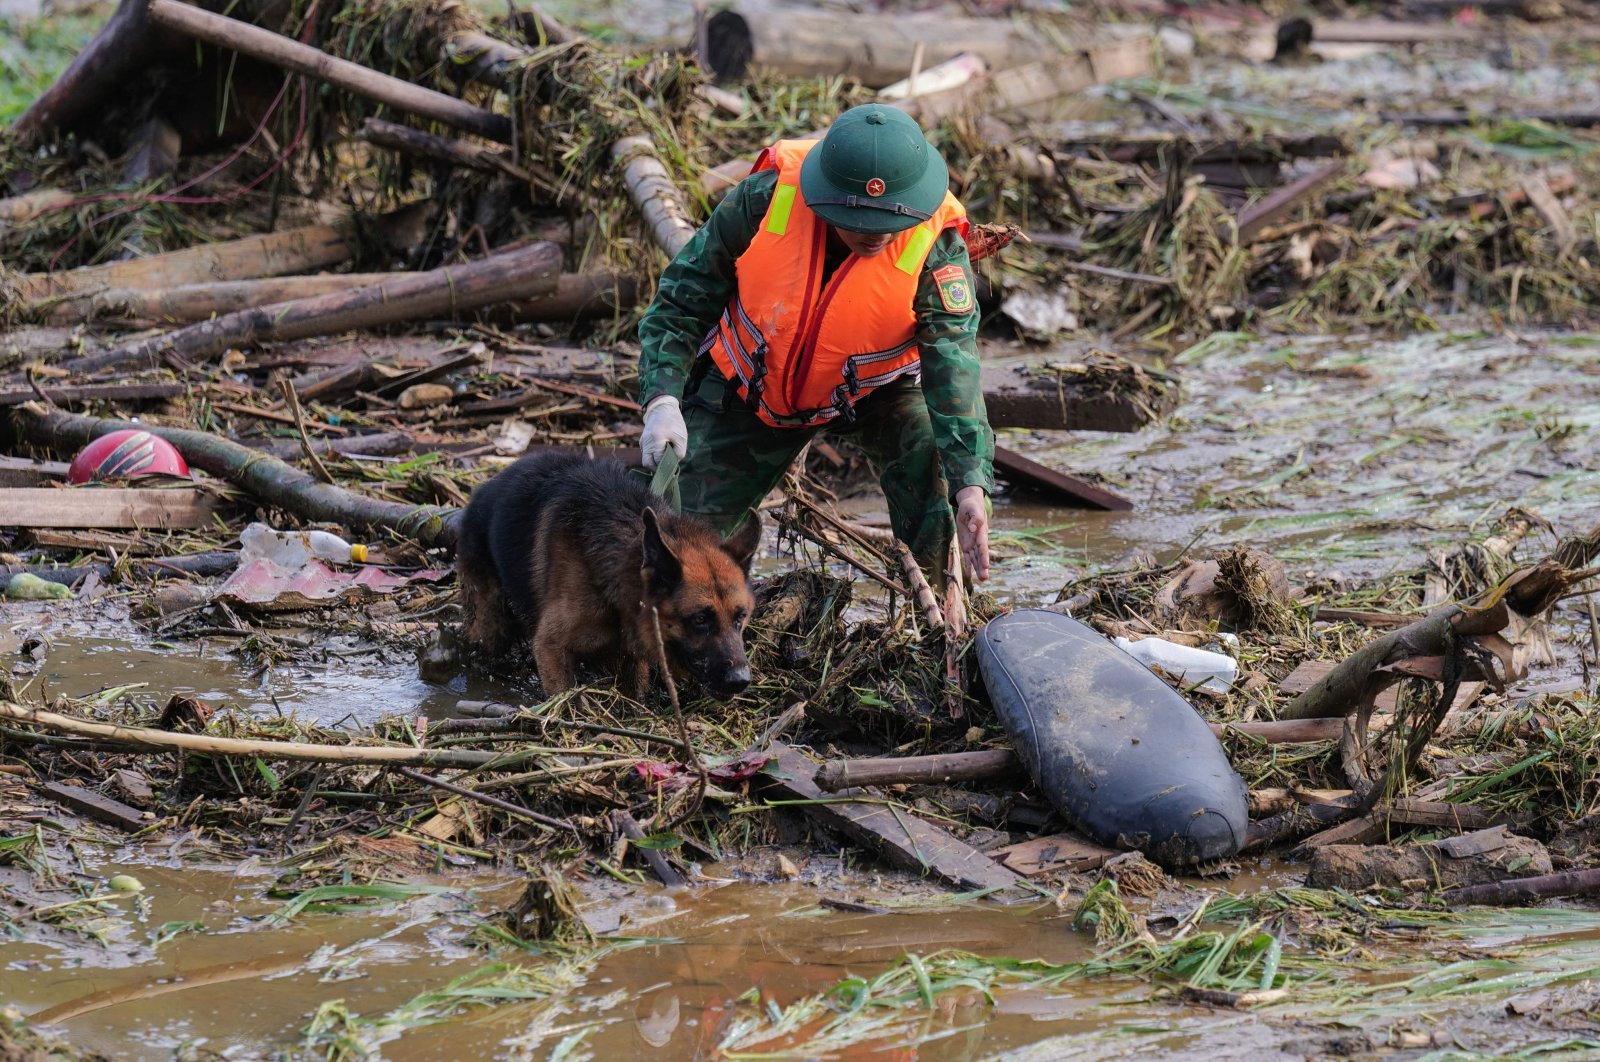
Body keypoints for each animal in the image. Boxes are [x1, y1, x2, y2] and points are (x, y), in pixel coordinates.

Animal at [454, 454, 758, 697]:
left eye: (740, 617)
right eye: (699, 619)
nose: (740, 681)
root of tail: (482, 489)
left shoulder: (632, 657)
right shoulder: (550, 649)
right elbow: (566, 699)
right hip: (490, 627)